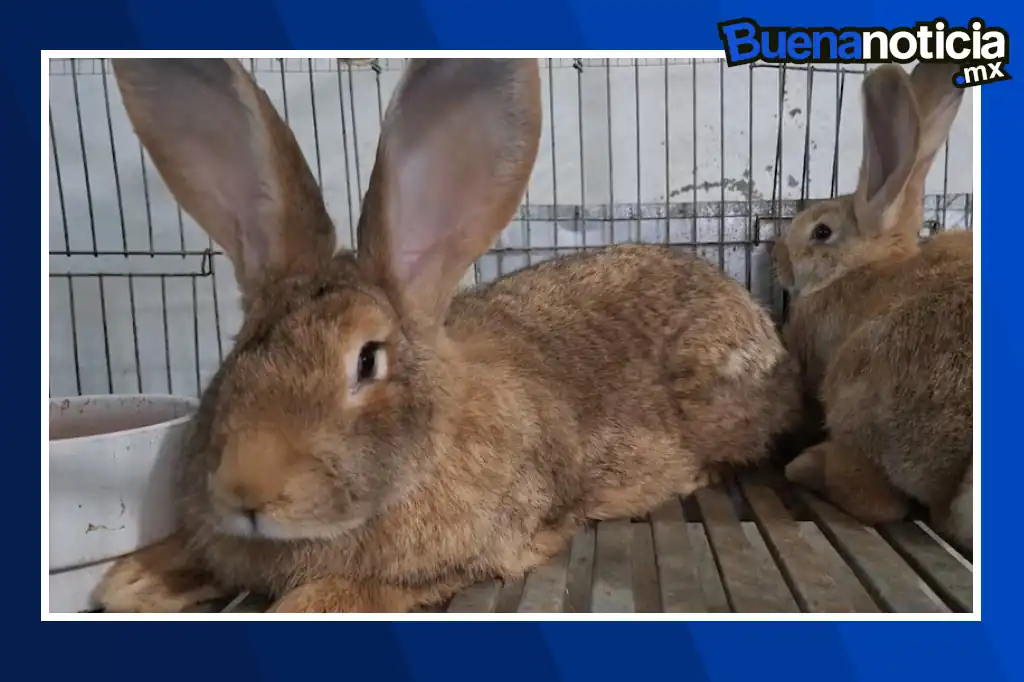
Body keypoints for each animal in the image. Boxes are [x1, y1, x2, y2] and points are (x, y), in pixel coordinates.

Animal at [91, 58, 803, 613]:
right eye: (239, 349)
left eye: (367, 361)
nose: (247, 490)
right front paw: (130, 581)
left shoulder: (482, 551)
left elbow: (355, 591)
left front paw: (300, 601)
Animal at [772, 61, 972, 551]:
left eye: (821, 232)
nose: (777, 258)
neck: (858, 269)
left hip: (857, 394)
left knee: (880, 502)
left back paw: (805, 468)